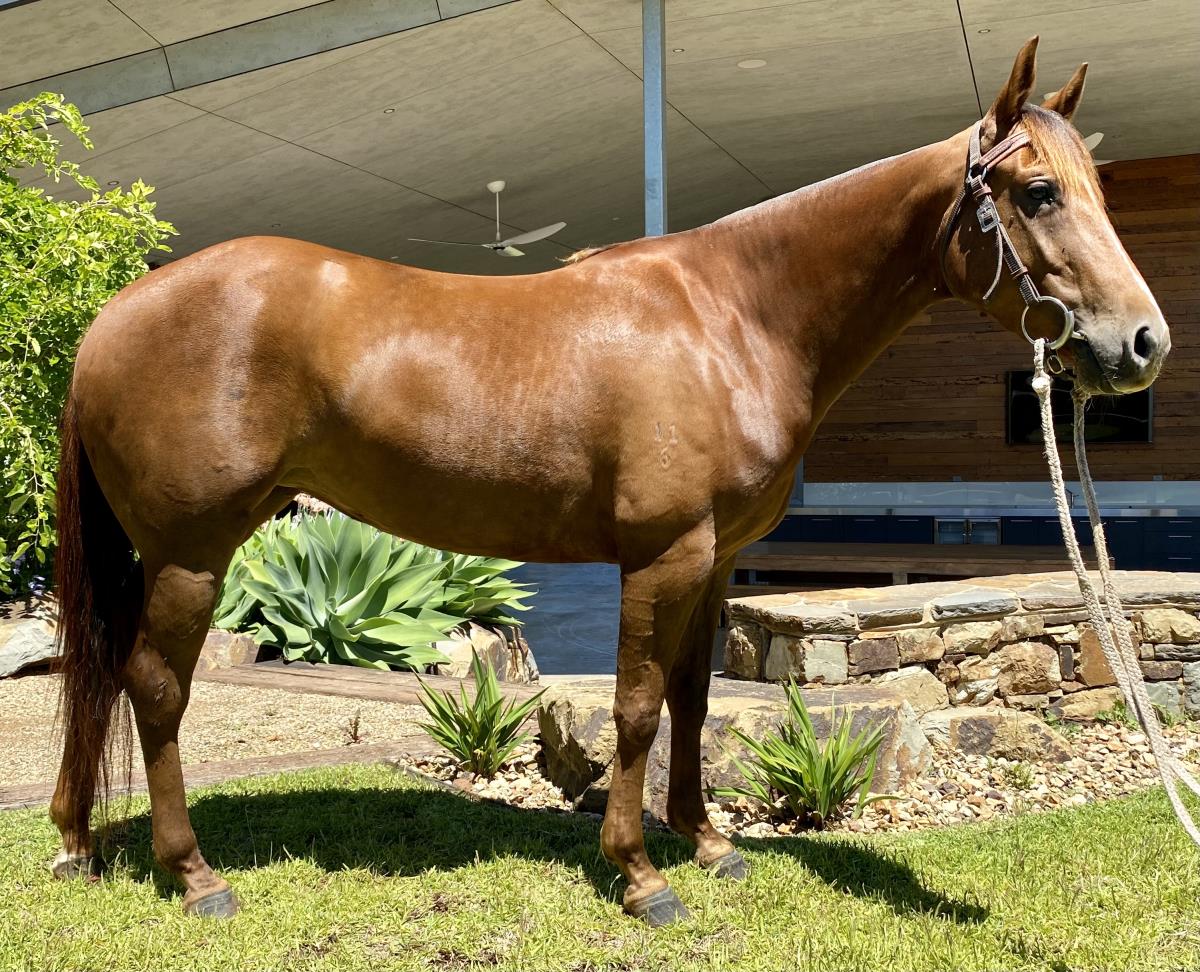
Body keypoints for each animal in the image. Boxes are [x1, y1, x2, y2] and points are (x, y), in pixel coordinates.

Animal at [50, 37, 1170, 925]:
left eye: (1098, 192)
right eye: (1038, 194)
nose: (1143, 344)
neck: (731, 319)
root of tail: (111, 318)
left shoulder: (714, 562)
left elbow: (690, 698)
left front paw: (707, 844)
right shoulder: (661, 555)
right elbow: (634, 706)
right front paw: (639, 875)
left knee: (102, 674)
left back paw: (77, 843)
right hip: (192, 553)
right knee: (153, 686)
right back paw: (193, 874)